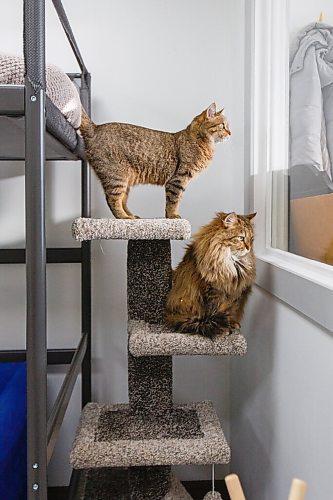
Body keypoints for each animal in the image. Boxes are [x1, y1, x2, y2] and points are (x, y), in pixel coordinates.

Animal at [79, 103, 230, 219]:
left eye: (227, 126)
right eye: (223, 125)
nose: (230, 133)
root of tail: (96, 128)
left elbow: (176, 201)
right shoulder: (178, 180)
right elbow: (173, 201)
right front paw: (172, 216)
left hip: (125, 182)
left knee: (122, 201)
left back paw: (132, 215)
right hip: (116, 177)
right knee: (112, 200)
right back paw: (124, 217)